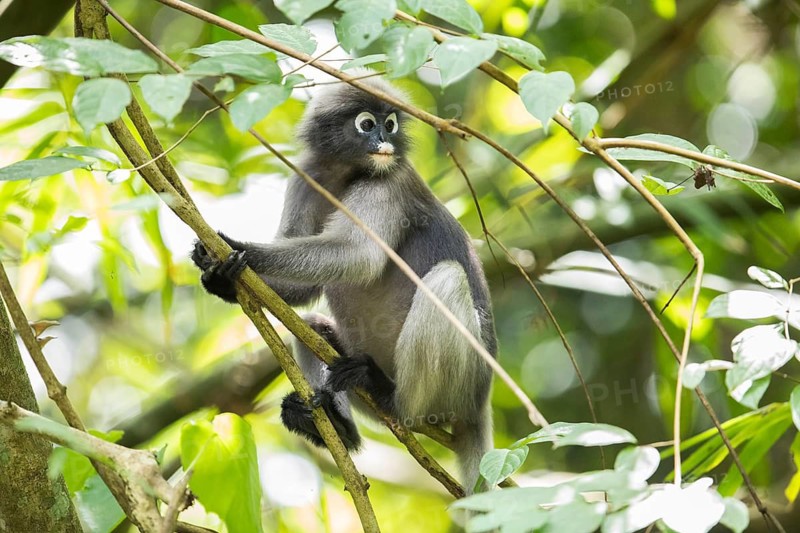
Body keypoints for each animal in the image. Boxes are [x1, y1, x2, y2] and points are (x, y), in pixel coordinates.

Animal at [191, 75, 497, 493]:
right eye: (367, 124)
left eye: (390, 124)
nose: (383, 141)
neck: (344, 173)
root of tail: (480, 405)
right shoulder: (306, 179)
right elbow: (304, 293)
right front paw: (220, 278)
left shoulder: (388, 182)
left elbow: (360, 256)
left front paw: (237, 248)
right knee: (312, 327)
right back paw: (338, 430)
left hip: (462, 385)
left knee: (447, 278)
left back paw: (392, 398)